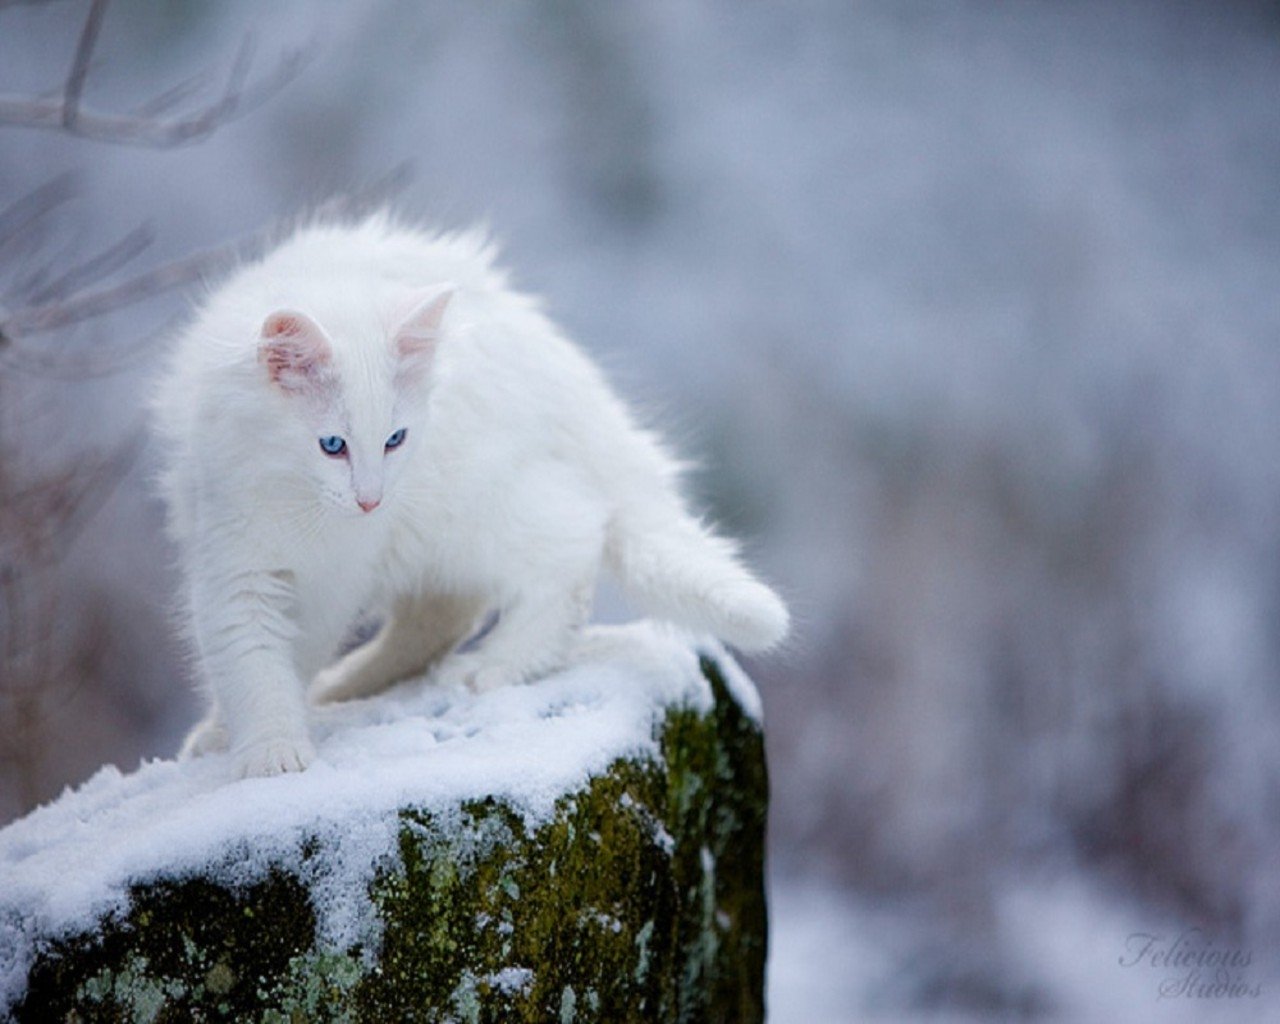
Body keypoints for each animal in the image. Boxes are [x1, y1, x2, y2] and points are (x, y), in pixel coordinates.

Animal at [152, 213, 788, 778]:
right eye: (332, 445)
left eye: (395, 439)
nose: (369, 500)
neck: (292, 496)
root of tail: (591, 407)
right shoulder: (231, 554)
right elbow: (250, 660)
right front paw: (253, 740)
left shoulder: (338, 570)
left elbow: (286, 654)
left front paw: (267, 748)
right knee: (442, 615)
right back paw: (351, 683)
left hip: (482, 503)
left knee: (569, 555)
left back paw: (493, 665)